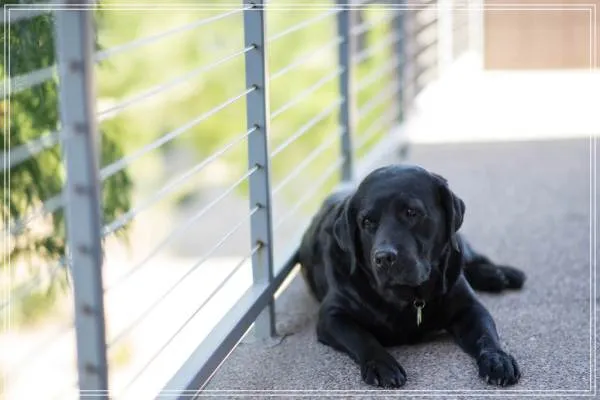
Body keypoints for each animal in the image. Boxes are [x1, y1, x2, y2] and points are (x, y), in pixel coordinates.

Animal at [296, 164, 526, 388]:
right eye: (367, 221)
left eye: (411, 212)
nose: (384, 257)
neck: (407, 298)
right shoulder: (332, 315)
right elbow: (361, 337)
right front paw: (382, 364)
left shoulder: (469, 307)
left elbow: (486, 335)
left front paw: (498, 359)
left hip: (459, 247)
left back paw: (503, 274)